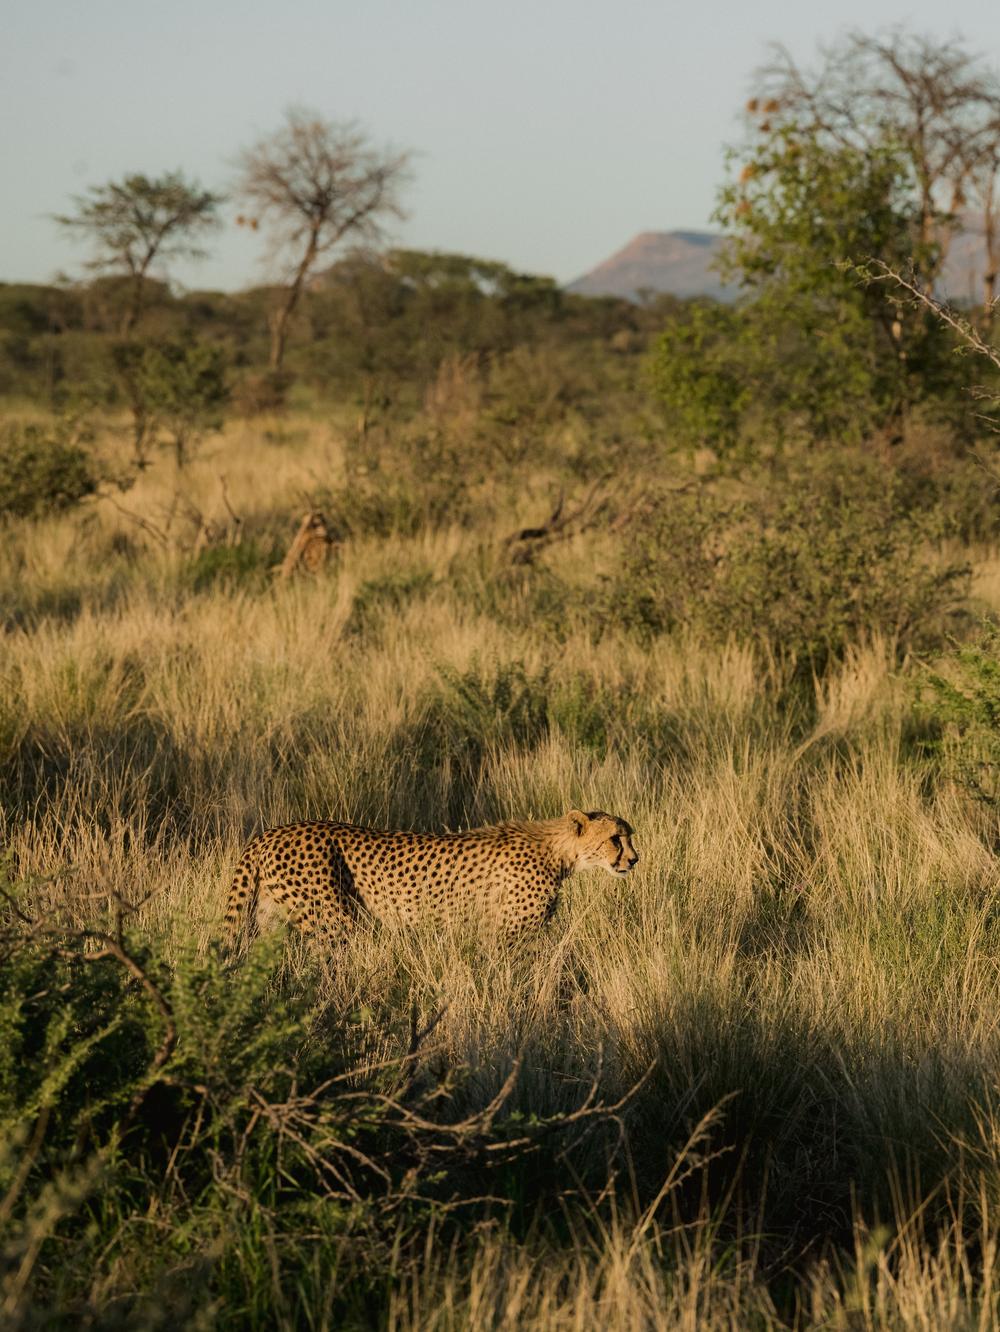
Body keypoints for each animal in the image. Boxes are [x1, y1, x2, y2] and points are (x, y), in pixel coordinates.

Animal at [222, 804, 636, 953]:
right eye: (616, 839)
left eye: (629, 836)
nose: (634, 859)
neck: (558, 851)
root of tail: (270, 832)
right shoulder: (504, 934)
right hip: (332, 922)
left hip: (270, 918)